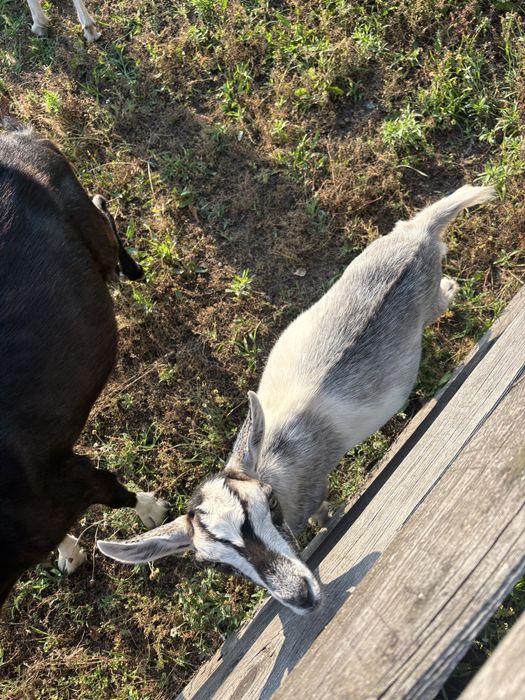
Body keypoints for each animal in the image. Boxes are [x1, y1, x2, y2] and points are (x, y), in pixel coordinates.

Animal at [0, 121, 168, 608]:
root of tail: (13, 135)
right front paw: (70, 555)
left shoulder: (71, 479)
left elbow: (114, 493)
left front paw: (152, 510)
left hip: (86, 223)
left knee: (102, 211)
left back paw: (129, 268)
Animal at [98, 185, 496, 615]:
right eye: (217, 565)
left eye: (271, 503)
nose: (300, 596)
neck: (277, 463)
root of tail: (417, 234)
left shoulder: (312, 489)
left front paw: (326, 520)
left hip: (430, 297)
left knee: (443, 297)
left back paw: (455, 281)